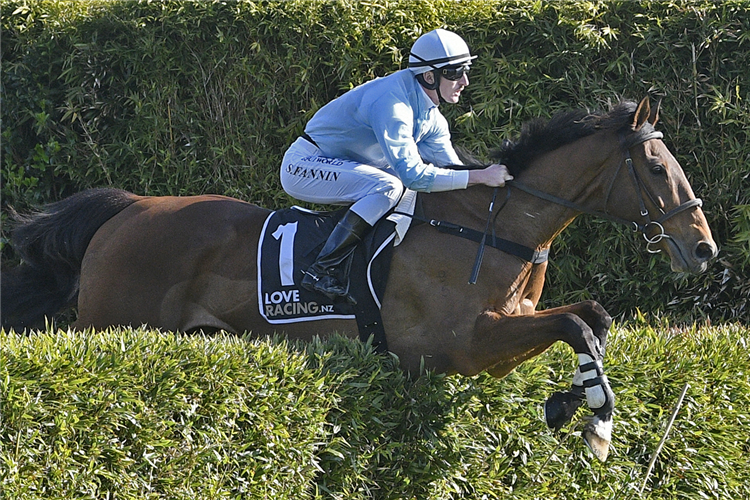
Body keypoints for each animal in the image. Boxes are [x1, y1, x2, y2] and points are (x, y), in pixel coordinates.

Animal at [0, 97, 716, 460]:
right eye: (657, 168)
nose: (703, 248)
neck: (494, 227)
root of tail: (124, 213)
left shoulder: (498, 335)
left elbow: (591, 317)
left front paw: (574, 402)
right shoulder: (456, 347)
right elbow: (575, 321)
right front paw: (595, 422)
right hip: (110, 324)